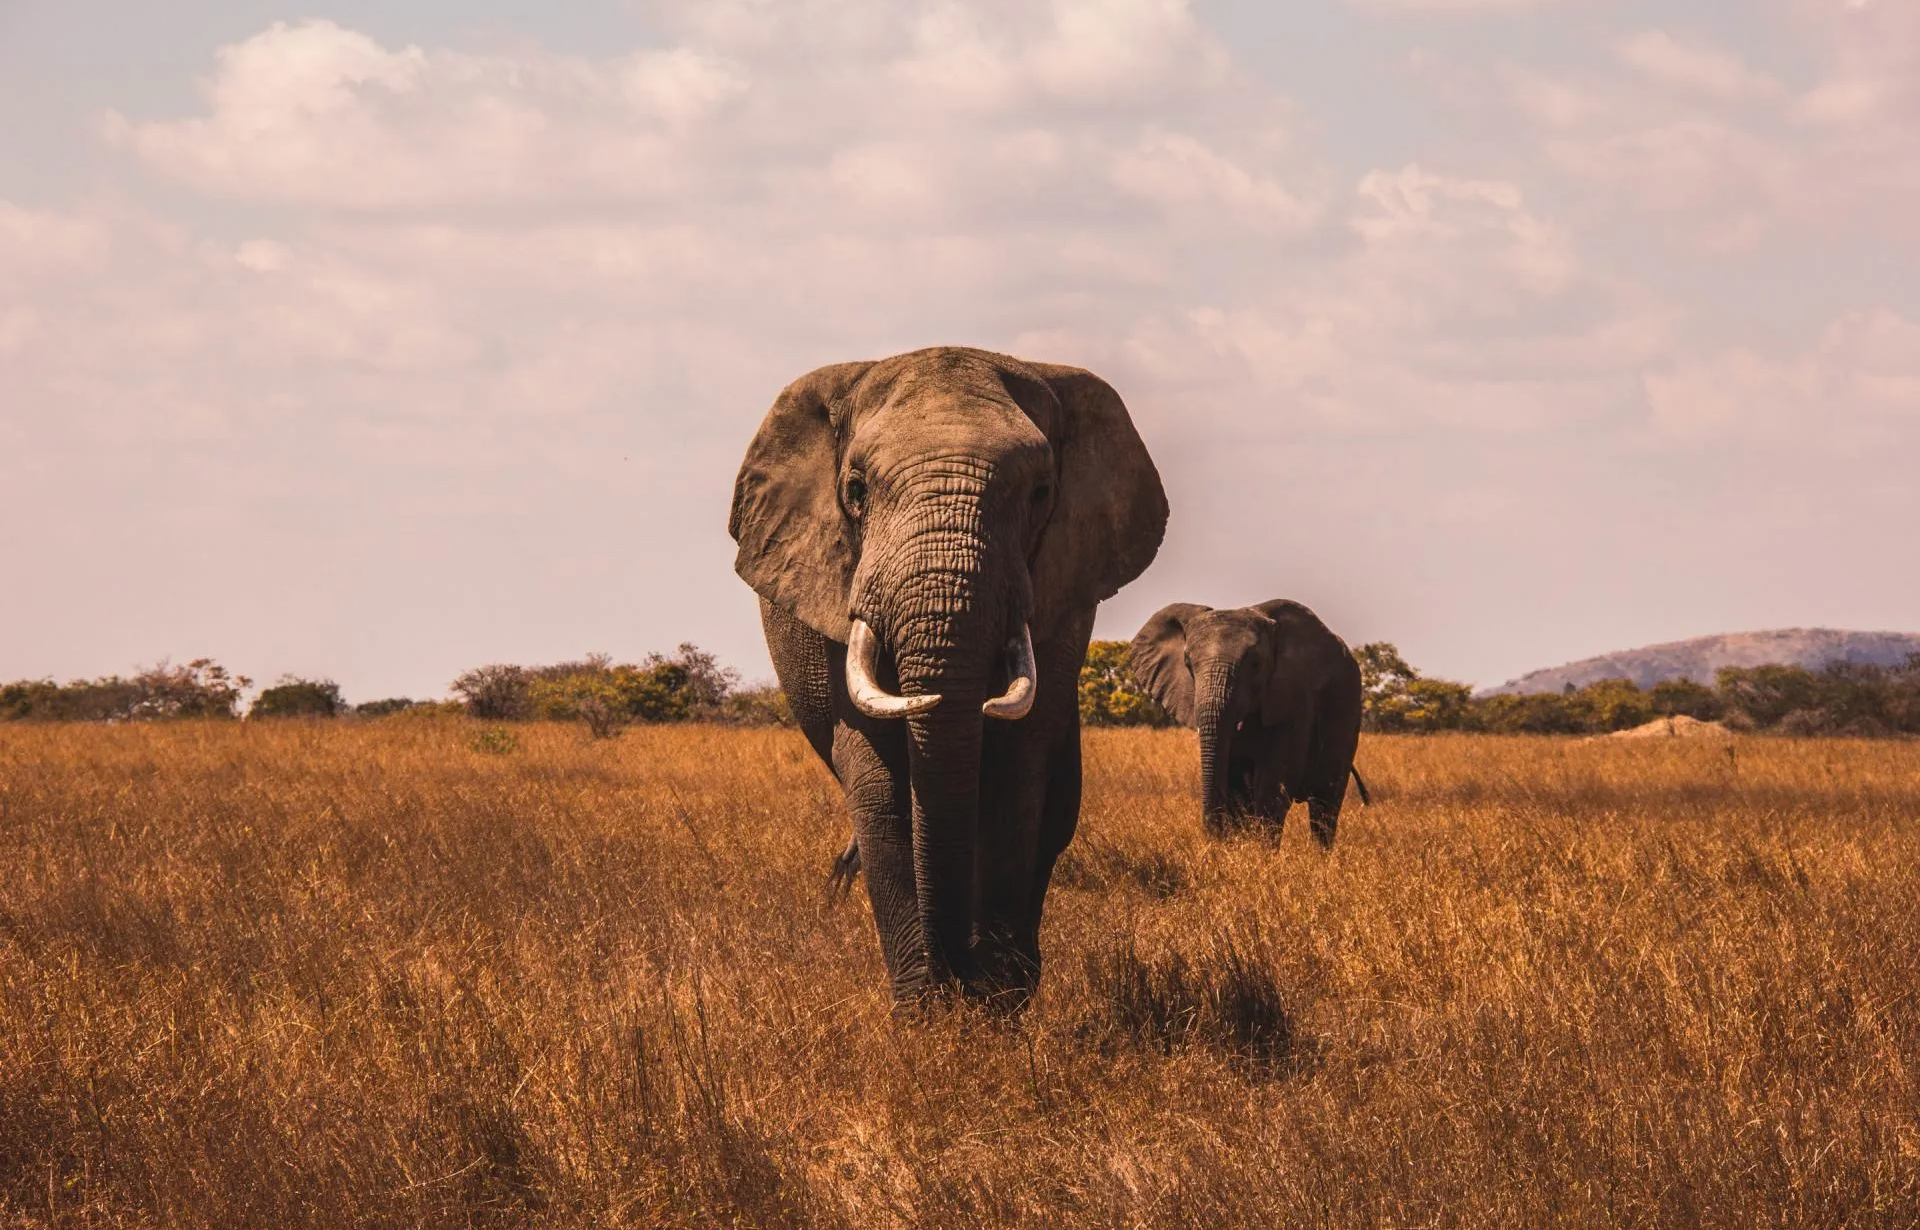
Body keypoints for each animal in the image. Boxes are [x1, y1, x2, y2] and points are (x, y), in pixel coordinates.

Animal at [728, 346, 1167, 1008]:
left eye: (1041, 493)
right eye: (855, 490)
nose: (957, 976)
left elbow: (1018, 775)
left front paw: (997, 1004)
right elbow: (879, 784)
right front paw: (926, 1011)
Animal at [1128, 599, 1368, 842]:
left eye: (1255, 664)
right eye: (1188, 664)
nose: (1213, 838)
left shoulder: (1295, 695)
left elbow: (1275, 783)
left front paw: (1261, 851)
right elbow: (1237, 786)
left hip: (1347, 708)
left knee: (1325, 802)